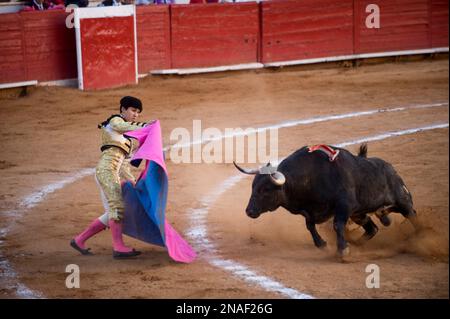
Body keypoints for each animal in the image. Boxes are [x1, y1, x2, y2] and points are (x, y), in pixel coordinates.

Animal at [234, 144, 420, 258]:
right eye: (253, 187)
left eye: (265, 189)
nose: (249, 211)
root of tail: (391, 169)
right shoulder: (311, 211)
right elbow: (310, 225)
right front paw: (323, 244)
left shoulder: (344, 205)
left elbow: (337, 225)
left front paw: (342, 250)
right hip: (359, 214)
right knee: (372, 228)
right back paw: (357, 244)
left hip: (402, 201)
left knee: (412, 215)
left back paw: (420, 237)